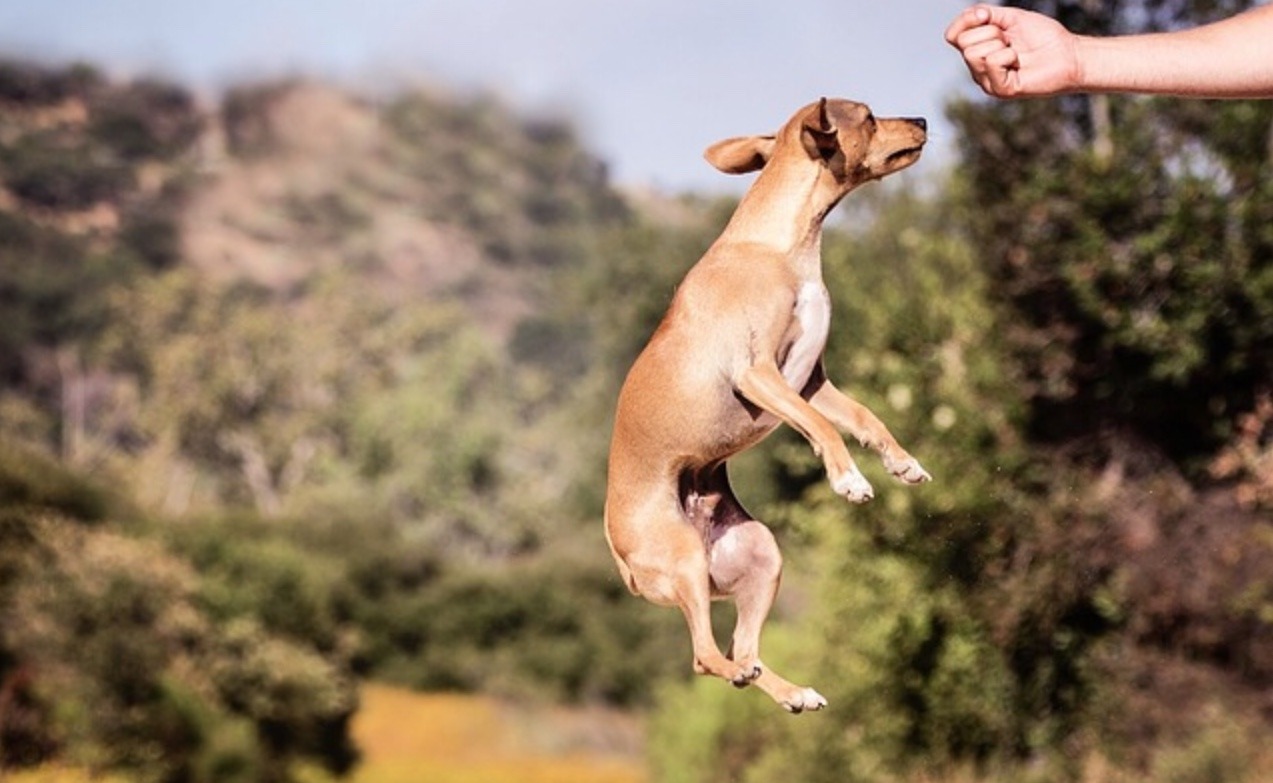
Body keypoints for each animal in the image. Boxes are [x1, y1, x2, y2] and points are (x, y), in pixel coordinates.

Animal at [600, 94, 931, 712]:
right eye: (869, 116)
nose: (922, 121)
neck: (781, 248)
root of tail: (620, 555)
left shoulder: (811, 382)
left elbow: (864, 418)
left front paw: (902, 462)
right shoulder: (760, 374)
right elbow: (823, 430)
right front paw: (850, 480)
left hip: (759, 557)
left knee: (743, 647)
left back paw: (792, 692)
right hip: (683, 559)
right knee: (708, 657)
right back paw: (742, 674)